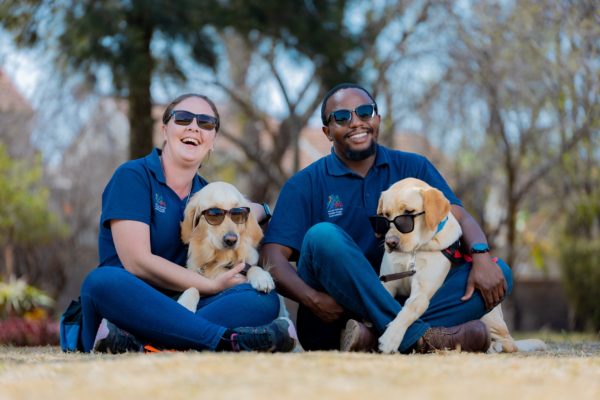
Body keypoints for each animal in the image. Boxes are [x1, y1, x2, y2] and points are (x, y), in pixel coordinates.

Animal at [175, 182, 276, 312]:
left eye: (238, 213)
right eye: (213, 214)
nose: (231, 240)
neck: (221, 259)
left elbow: (252, 267)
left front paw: (261, 276)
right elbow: (194, 287)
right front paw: (186, 303)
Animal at [372, 178, 548, 354]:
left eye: (408, 213)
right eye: (385, 216)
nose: (390, 243)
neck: (414, 252)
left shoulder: (422, 291)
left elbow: (410, 309)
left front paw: (391, 338)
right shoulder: (387, 283)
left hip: (490, 316)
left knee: (510, 343)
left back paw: (493, 346)